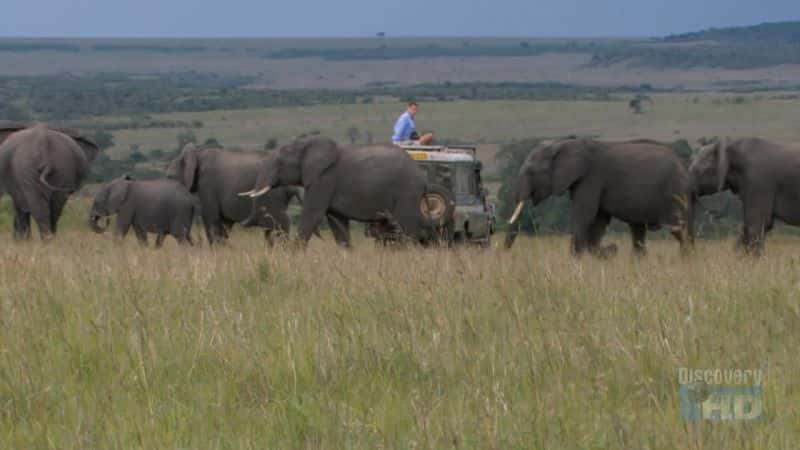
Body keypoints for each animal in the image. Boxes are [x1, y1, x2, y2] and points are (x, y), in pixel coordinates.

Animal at [167, 143, 304, 244]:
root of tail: (292, 186)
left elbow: (211, 219)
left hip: (273, 196)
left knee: (279, 225)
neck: (198, 152)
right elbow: (224, 223)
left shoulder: (207, 185)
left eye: (170, 177)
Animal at [238, 135, 454, 248]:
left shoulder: (324, 178)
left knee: (409, 227)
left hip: (407, 191)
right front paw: (346, 254)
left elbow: (312, 214)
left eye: (280, 163)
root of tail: (422, 177)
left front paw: (293, 255)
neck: (307, 144)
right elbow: (337, 222)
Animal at [506, 137, 692, 256]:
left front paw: (578, 260)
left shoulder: (591, 179)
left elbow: (584, 215)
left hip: (675, 192)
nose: (505, 249)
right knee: (639, 231)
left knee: (679, 229)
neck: (562, 144)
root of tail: (684, 165)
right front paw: (598, 254)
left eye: (531, 172)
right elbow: (599, 220)